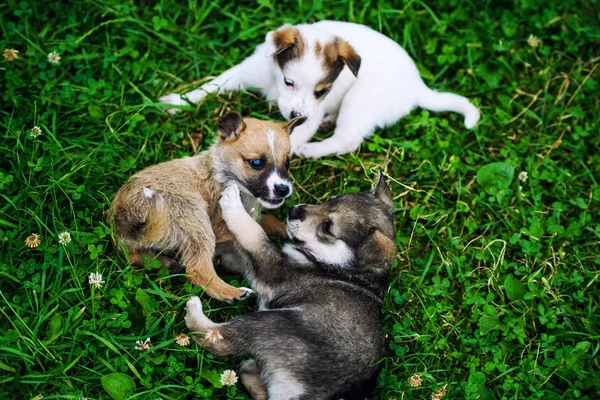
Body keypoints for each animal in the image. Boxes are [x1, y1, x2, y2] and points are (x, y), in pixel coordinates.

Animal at [109, 111, 304, 302]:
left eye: (287, 163)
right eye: (256, 163)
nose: (283, 189)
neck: (220, 173)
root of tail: (125, 221)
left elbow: (269, 219)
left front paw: (289, 229)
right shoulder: (221, 227)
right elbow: (251, 228)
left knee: (131, 256)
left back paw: (164, 263)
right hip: (195, 218)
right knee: (198, 270)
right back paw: (233, 293)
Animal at [158, 20, 478, 158]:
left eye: (322, 91)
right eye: (289, 82)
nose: (297, 115)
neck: (274, 84)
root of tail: (418, 87)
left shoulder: (310, 113)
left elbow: (292, 138)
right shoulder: (247, 71)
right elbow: (214, 84)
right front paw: (179, 101)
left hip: (360, 100)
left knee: (348, 140)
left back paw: (311, 150)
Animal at [185, 173, 396, 400]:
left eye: (327, 227)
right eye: (329, 199)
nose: (293, 210)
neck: (342, 269)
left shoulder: (275, 270)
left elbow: (255, 234)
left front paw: (234, 203)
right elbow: (242, 253)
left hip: (270, 323)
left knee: (219, 341)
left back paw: (193, 310)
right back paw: (250, 370)